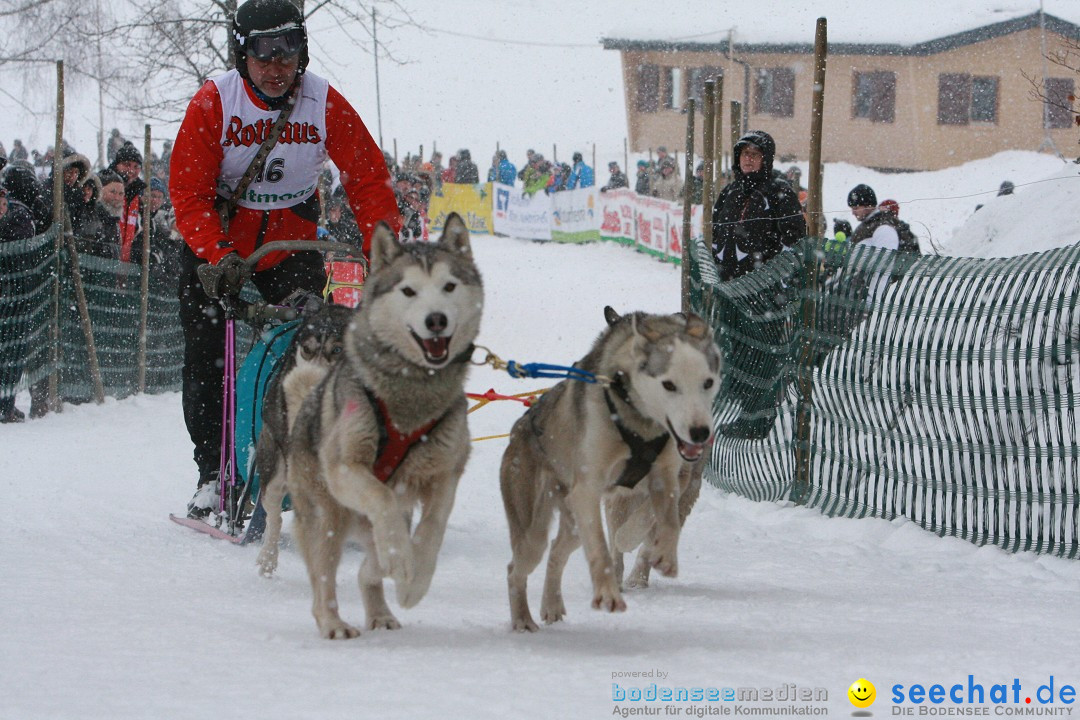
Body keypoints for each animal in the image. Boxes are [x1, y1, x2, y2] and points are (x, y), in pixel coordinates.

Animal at [282, 212, 481, 634]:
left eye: (449, 286)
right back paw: (333, 621)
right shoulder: (346, 468)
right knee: (323, 578)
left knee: (368, 569)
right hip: (326, 515)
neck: (410, 398)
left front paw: (414, 579)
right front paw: (402, 560)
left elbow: (433, 529)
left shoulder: (446, 473)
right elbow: (382, 497)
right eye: (408, 291)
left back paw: (382, 608)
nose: (436, 320)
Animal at [501, 306, 721, 634]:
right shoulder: (589, 490)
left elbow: (663, 520)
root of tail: (518, 429)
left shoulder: (669, 478)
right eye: (669, 384)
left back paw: (551, 605)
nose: (699, 432)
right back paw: (522, 619)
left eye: (707, 382)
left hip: (574, 525)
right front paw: (607, 592)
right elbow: (604, 549)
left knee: (556, 552)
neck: (640, 423)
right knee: (517, 567)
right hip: (535, 531)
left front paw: (665, 555)